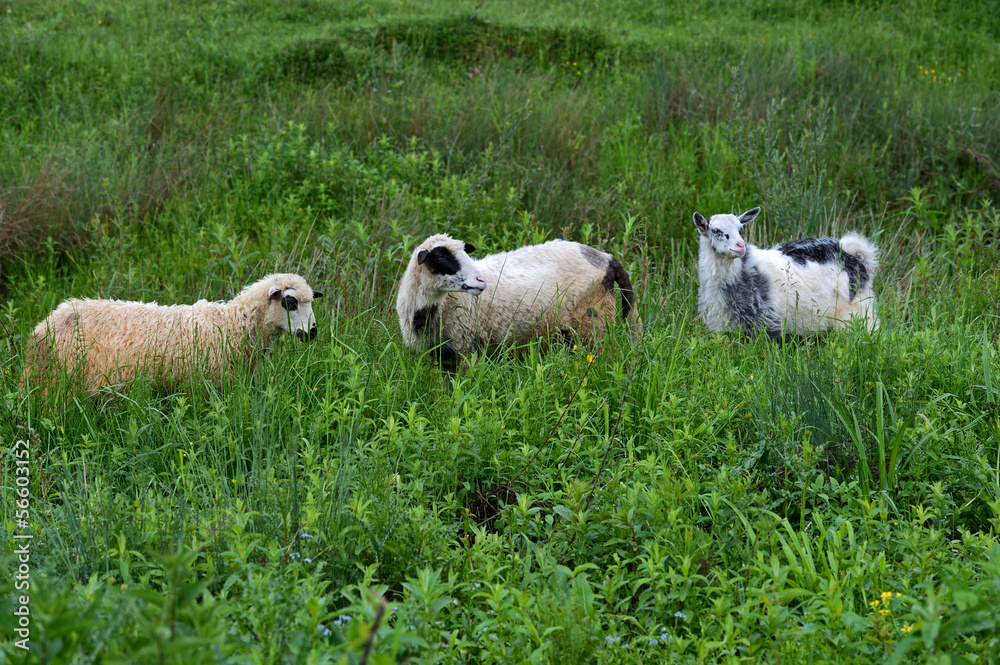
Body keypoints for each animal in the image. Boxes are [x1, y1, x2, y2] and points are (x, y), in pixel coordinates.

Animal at [396, 234, 639, 365]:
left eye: (465, 252)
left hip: (595, 322)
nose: (481, 280)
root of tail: (606, 258)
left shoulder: (467, 350)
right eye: (440, 255)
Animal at [693, 206, 879, 338]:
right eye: (715, 231)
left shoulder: (767, 329)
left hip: (856, 311)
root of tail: (852, 252)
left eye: (740, 230)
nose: (740, 246)